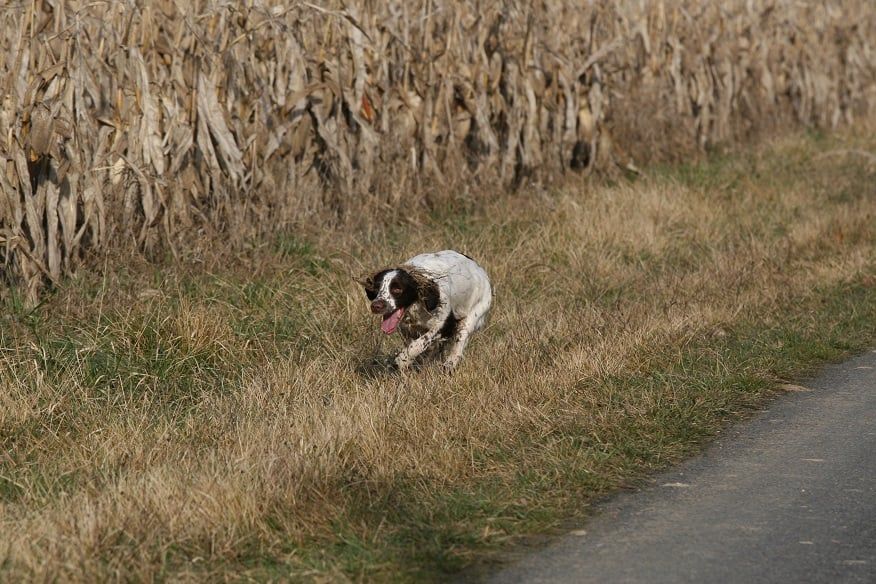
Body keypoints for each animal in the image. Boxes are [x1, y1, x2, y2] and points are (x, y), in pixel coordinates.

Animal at [358, 250, 490, 370]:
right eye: (376, 288)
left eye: (397, 289)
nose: (376, 306)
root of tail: (480, 269)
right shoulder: (406, 330)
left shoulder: (446, 324)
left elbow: (420, 343)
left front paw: (403, 359)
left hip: (473, 316)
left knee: (459, 344)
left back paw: (449, 365)